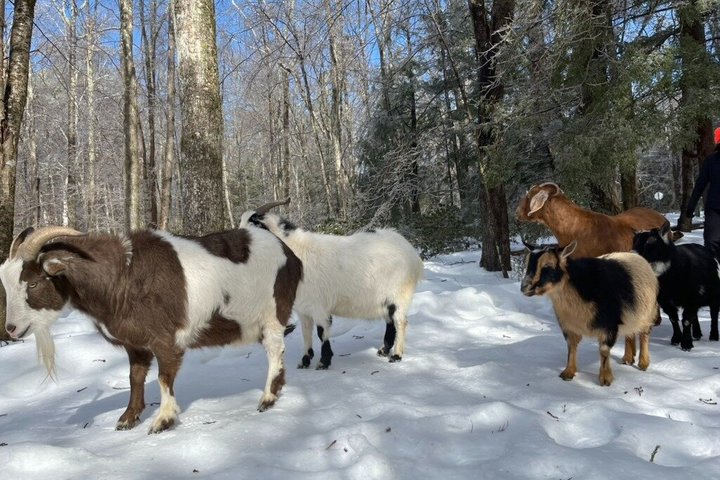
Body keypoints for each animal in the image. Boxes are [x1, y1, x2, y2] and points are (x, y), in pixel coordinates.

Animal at [0, 225, 302, 433]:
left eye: (33, 283)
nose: (12, 329)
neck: (121, 276)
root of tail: (291, 257)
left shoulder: (165, 340)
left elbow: (164, 377)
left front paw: (162, 420)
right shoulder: (135, 344)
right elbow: (135, 377)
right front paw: (127, 419)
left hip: (272, 314)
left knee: (275, 350)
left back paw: (267, 398)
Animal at [239, 199, 424, 369]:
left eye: (253, 225)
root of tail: (412, 253)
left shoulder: (319, 306)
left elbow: (322, 333)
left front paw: (323, 361)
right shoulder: (303, 309)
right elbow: (306, 333)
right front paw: (305, 360)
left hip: (399, 296)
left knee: (400, 322)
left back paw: (396, 355)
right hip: (384, 300)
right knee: (390, 322)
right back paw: (384, 351)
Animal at [521, 241, 658, 386]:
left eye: (548, 266)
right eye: (528, 263)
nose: (524, 287)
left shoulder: (609, 323)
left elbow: (604, 350)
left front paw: (605, 379)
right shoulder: (568, 325)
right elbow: (571, 347)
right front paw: (568, 373)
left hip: (648, 312)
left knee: (644, 334)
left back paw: (643, 363)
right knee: (630, 333)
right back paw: (627, 358)